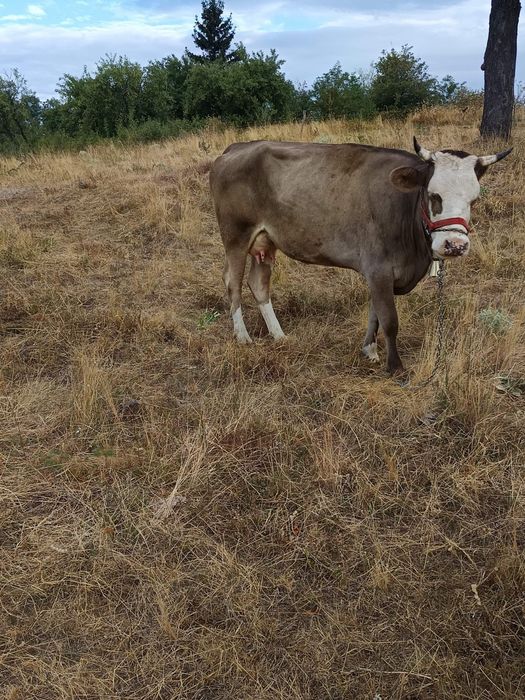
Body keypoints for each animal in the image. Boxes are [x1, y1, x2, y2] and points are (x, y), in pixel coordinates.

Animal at [209, 138, 511, 374]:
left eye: (474, 200)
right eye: (433, 195)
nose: (455, 244)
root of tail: (238, 148)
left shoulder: (379, 274)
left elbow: (374, 313)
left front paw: (370, 350)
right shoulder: (379, 268)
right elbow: (389, 319)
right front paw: (395, 366)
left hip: (265, 241)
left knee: (259, 284)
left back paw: (279, 335)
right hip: (235, 235)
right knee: (233, 283)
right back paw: (242, 336)